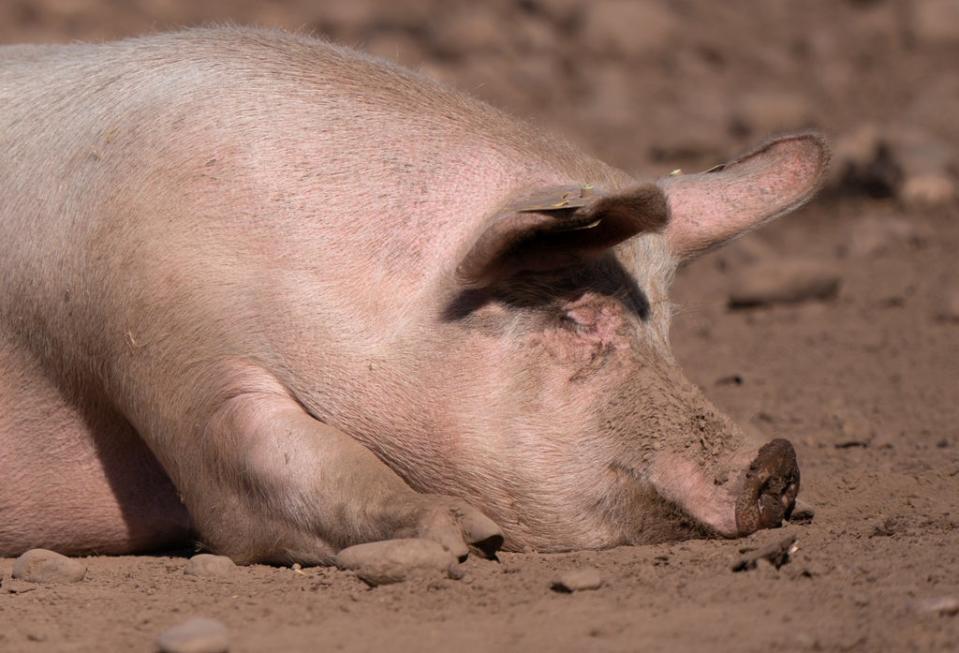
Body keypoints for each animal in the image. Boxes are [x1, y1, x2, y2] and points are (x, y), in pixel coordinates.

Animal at [0, 28, 824, 564]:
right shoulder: (147, 332)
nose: (775, 458)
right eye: (573, 316)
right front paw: (468, 532)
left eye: (665, 326)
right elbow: (257, 471)